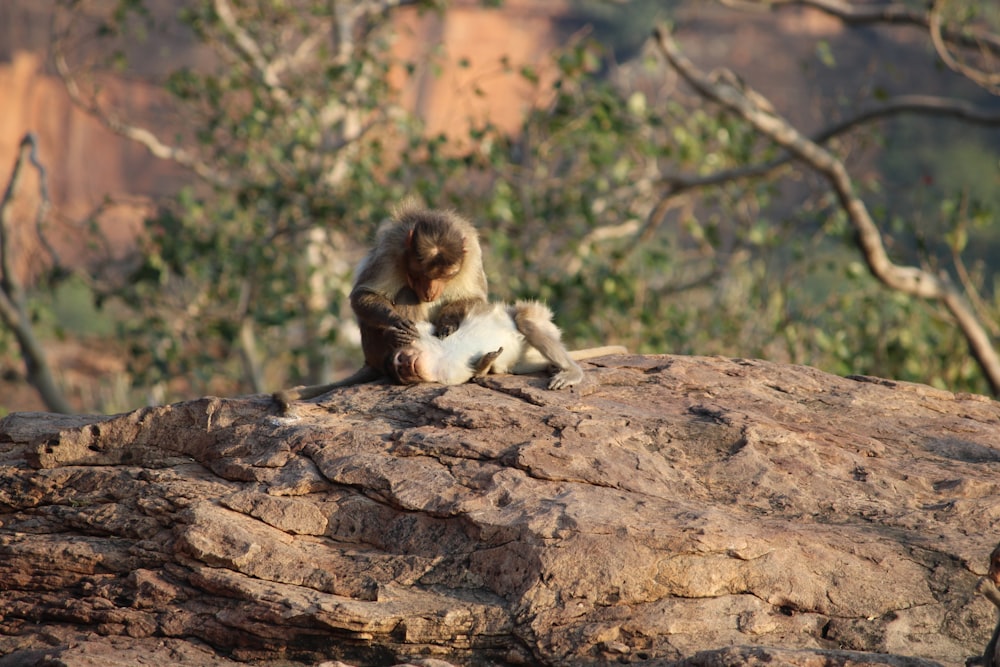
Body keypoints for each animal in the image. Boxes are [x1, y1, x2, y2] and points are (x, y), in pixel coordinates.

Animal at [276, 201, 490, 410]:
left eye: (444, 276)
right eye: (421, 275)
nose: (430, 291)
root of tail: (370, 359)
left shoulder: (473, 254)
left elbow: (477, 299)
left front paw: (448, 323)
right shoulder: (390, 249)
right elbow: (363, 294)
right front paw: (396, 323)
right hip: (375, 348)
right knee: (407, 294)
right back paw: (397, 341)